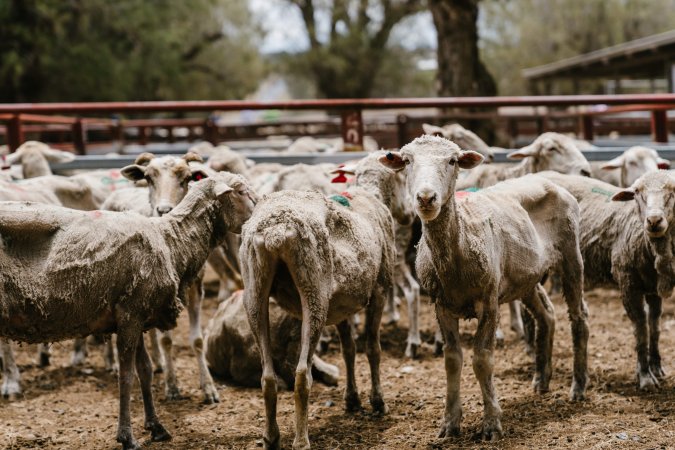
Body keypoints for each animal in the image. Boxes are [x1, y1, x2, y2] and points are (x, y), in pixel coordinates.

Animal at [0, 171, 256, 450]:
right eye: (241, 192)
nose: (260, 212)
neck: (171, 240)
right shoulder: (130, 315)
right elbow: (127, 377)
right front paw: (127, 437)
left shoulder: (138, 315)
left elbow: (145, 370)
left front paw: (156, 427)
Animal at [240, 152, 404, 450]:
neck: (370, 194)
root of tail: (275, 230)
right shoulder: (379, 290)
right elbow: (372, 348)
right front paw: (377, 402)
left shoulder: (341, 306)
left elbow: (349, 349)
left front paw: (352, 400)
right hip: (314, 291)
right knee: (302, 374)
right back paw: (301, 440)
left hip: (255, 289)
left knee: (267, 377)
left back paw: (271, 437)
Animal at [380, 136, 592, 440]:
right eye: (407, 161)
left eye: (452, 161)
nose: (426, 198)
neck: (458, 248)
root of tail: (547, 179)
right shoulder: (441, 306)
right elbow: (452, 360)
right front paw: (449, 423)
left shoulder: (489, 301)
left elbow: (482, 360)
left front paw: (491, 423)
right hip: (525, 278)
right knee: (547, 315)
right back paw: (541, 379)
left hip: (571, 255)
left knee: (579, 316)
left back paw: (579, 386)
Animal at [540, 170, 675, 390]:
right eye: (637, 192)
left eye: (673, 191)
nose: (654, 220)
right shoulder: (627, 281)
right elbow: (641, 328)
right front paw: (645, 377)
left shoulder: (653, 287)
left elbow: (655, 326)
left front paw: (657, 368)